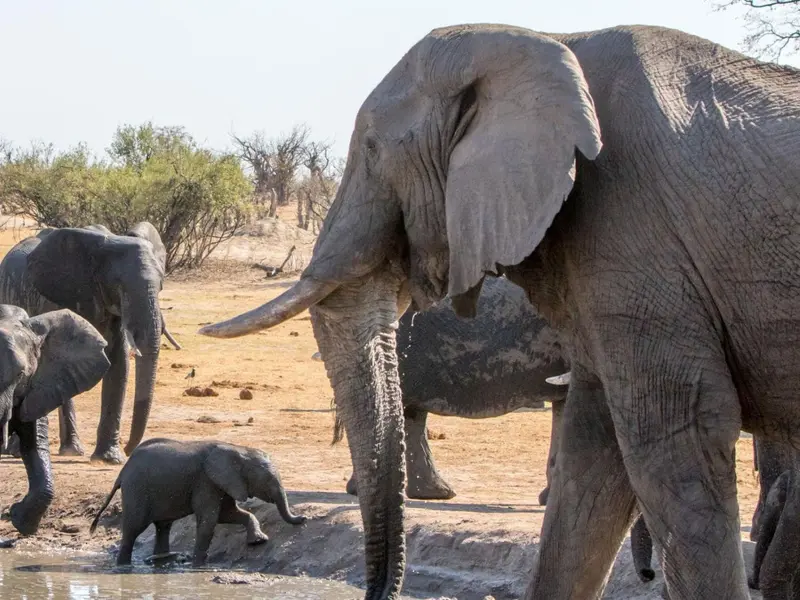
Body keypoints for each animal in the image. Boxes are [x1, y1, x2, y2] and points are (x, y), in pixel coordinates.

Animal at [0, 225, 167, 463]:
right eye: (118, 285)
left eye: (161, 284)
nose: (129, 450)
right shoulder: (56, 295)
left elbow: (119, 364)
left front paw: (109, 458)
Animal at [89, 438, 307, 566]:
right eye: (267, 481)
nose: (304, 518)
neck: (237, 449)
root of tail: (123, 470)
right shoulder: (206, 480)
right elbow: (210, 520)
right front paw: (198, 566)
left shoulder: (223, 482)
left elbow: (229, 514)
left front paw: (259, 541)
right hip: (137, 489)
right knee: (134, 528)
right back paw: (123, 567)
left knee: (163, 527)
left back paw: (161, 561)